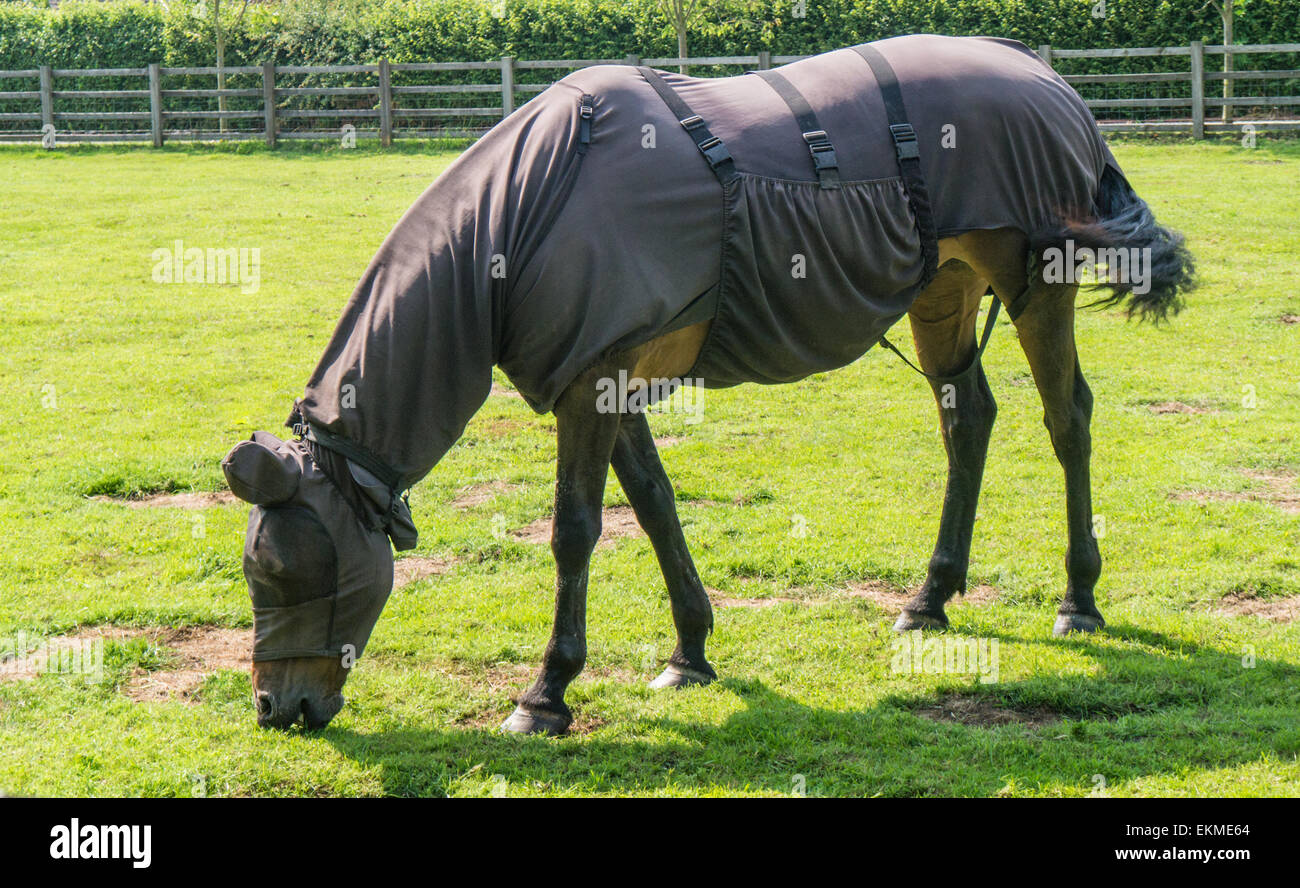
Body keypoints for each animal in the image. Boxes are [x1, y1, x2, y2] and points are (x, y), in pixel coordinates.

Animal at [222, 34, 1194, 734]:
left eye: (279, 570)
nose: (278, 710)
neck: (535, 209)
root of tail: (1041, 71)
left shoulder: (593, 384)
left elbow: (575, 534)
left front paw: (546, 693)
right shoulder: (607, 379)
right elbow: (654, 510)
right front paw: (690, 651)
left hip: (1037, 282)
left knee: (1068, 420)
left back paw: (1078, 599)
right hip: (943, 290)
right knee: (970, 421)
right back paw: (930, 598)